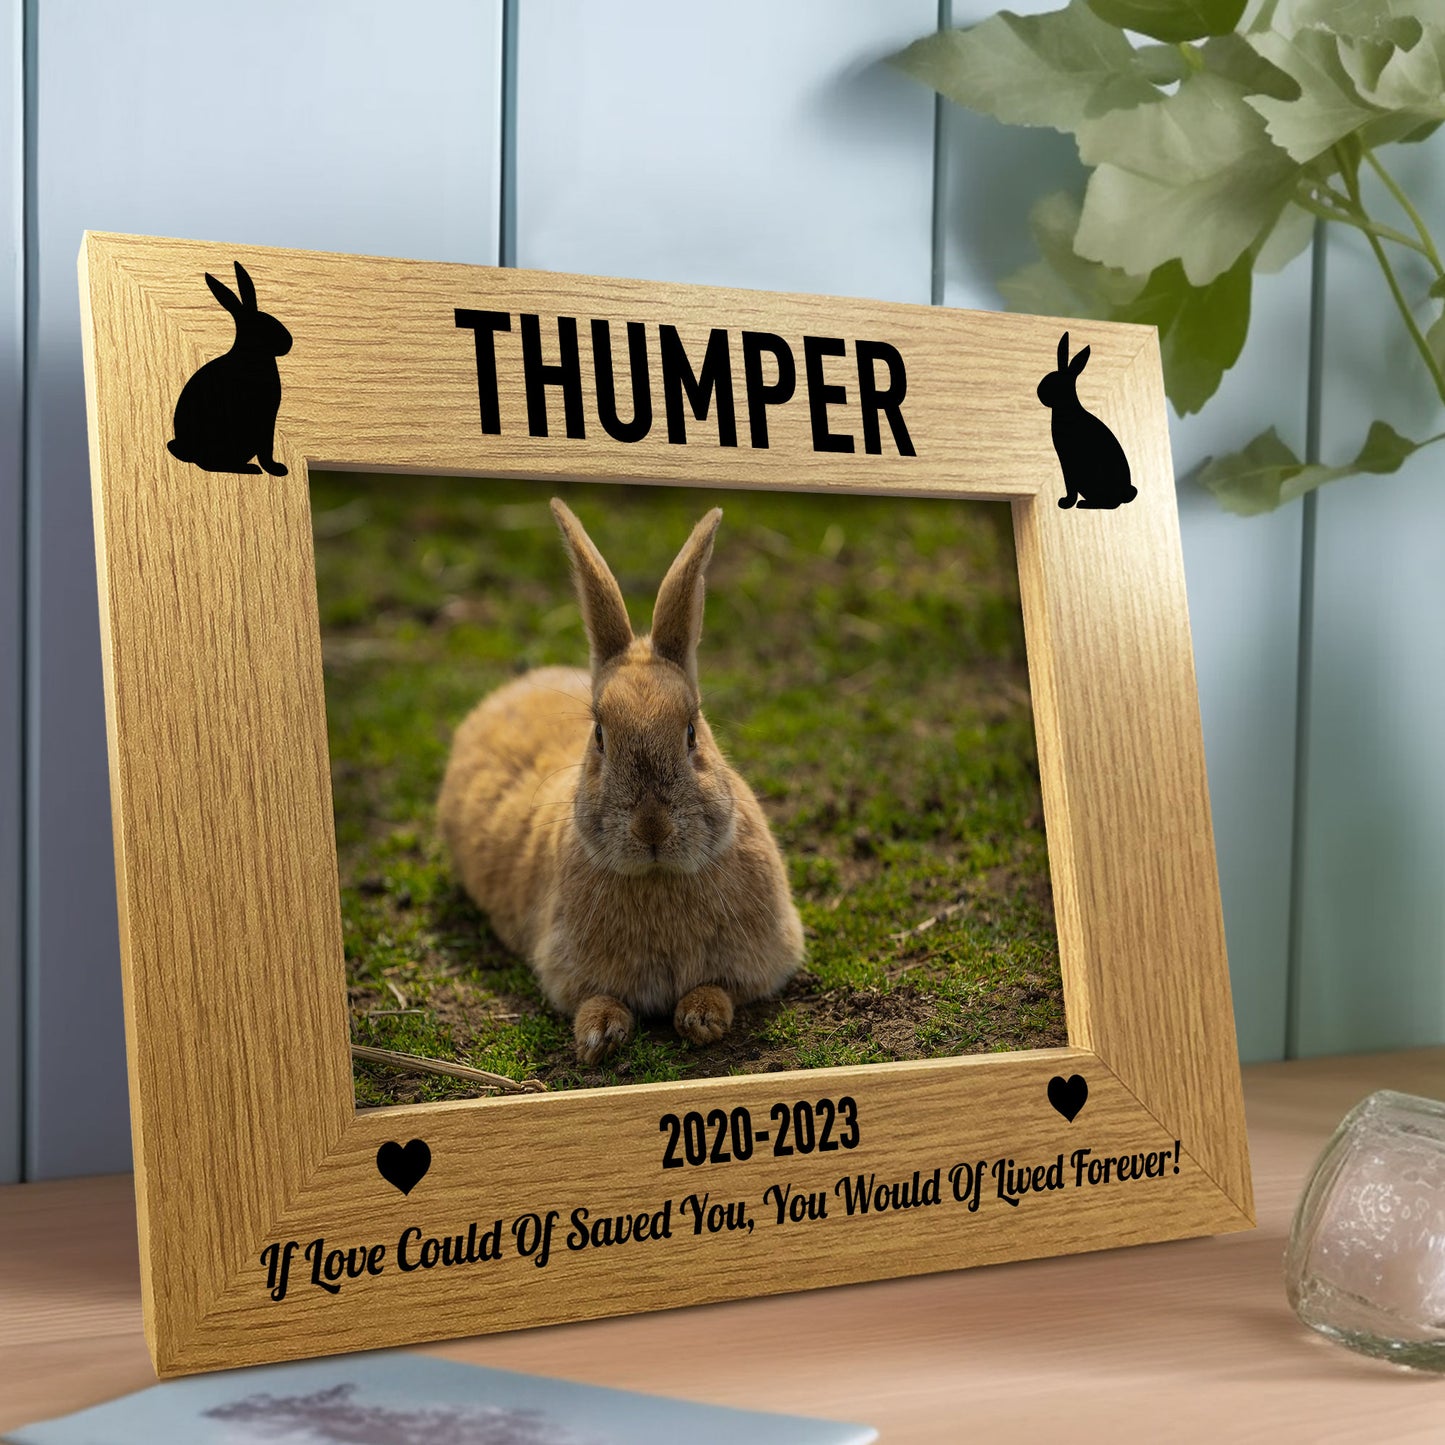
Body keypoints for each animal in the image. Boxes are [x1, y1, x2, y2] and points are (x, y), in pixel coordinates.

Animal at [167, 261, 292, 477]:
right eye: (263, 326)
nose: (289, 343)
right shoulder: (264, 420)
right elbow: (266, 449)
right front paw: (277, 469)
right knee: (210, 464)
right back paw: (249, 469)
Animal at [437, 499, 805, 1064]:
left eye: (692, 731)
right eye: (599, 736)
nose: (652, 827)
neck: (657, 876)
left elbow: (722, 988)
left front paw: (701, 1016)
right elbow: (596, 998)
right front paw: (598, 1035)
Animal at [1038, 332, 1136, 509]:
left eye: (1056, 383)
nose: (1039, 392)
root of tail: (1123, 494)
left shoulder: (1067, 461)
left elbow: (1070, 486)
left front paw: (1066, 503)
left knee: (1110, 504)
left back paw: (1085, 504)